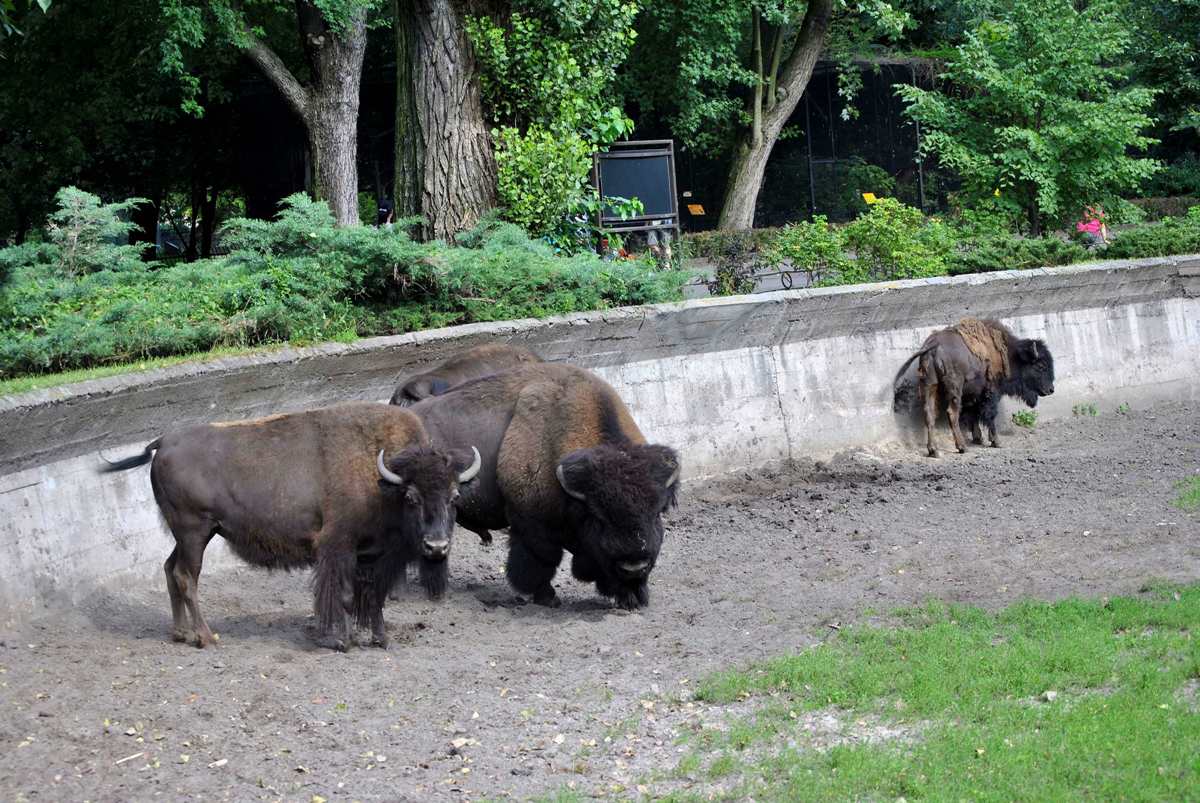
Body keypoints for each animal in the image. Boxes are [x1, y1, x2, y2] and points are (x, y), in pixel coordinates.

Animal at [98, 403, 480, 650]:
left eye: (454, 497)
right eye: (412, 498)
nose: (436, 546)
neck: (382, 478)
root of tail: (163, 442)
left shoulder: (372, 555)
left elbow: (372, 596)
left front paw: (379, 638)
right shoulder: (338, 547)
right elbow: (342, 595)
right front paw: (341, 641)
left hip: (192, 534)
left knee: (169, 568)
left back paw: (180, 633)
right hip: (195, 532)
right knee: (186, 576)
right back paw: (206, 637)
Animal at [408, 363, 680, 610]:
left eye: (657, 513)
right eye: (598, 517)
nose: (634, 566)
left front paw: (633, 598)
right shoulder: (531, 524)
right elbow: (541, 561)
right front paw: (547, 598)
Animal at [893, 318, 1055, 457]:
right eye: (1041, 366)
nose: (1051, 389)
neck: (1008, 354)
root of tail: (933, 345)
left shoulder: (972, 393)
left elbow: (973, 414)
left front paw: (978, 438)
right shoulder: (991, 391)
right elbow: (989, 414)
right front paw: (996, 441)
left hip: (930, 385)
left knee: (930, 414)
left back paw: (934, 451)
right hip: (954, 389)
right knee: (952, 413)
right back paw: (961, 447)